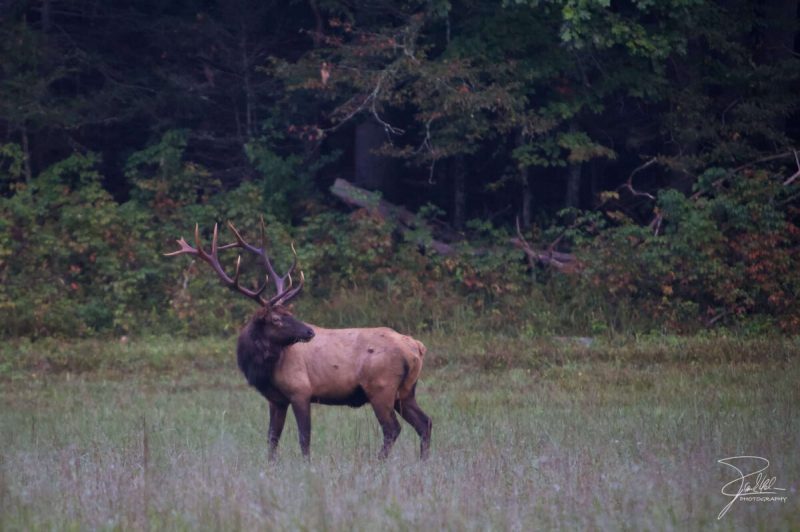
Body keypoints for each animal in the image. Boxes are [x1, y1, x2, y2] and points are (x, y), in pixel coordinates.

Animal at [166, 221, 432, 460]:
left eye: (289, 313)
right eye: (276, 318)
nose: (309, 332)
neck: (264, 369)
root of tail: (416, 347)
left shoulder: (300, 390)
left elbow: (304, 438)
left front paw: (306, 466)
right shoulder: (276, 400)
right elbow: (272, 438)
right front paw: (270, 466)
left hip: (381, 387)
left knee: (392, 428)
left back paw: (378, 463)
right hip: (405, 391)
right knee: (425, 422)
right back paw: (423, 462)